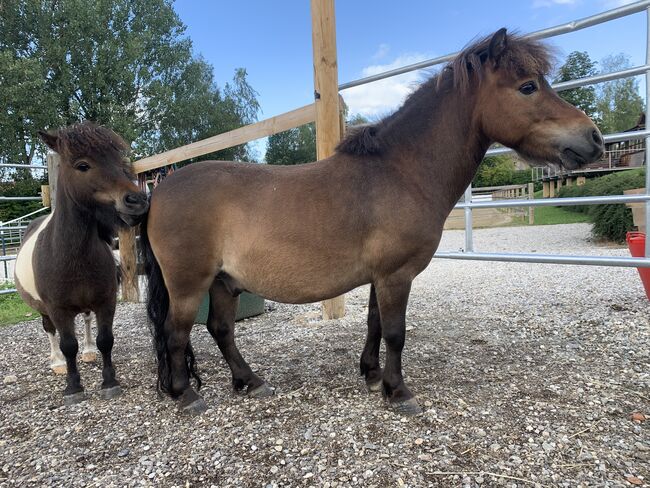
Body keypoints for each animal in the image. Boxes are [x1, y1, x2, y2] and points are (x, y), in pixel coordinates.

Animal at [13, 124, 148, 406]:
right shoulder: (58, 310)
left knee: (85, 322)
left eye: (119, 162)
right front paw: (73, 387)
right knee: (50, 332)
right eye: (83, 165)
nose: (137, 201)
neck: (73, 257)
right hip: (45, 311)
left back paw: (88, 352)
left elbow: (105, 340)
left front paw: (109, 382)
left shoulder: (105, 302)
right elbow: (67, 345)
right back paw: (56, 363)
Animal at [142, 28, 604, 414]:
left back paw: (250, 381)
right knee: (176, 333)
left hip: (224, 282)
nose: (594, 138)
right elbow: (396, 332)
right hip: (189, 285)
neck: (401, 172)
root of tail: (158, 190)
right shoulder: (396, 275)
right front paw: (399, 392)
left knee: (220, 330)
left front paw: (372, 375)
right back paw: (186, 395)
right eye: (528, 86)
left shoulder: (382, 276)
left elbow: (376, 324)